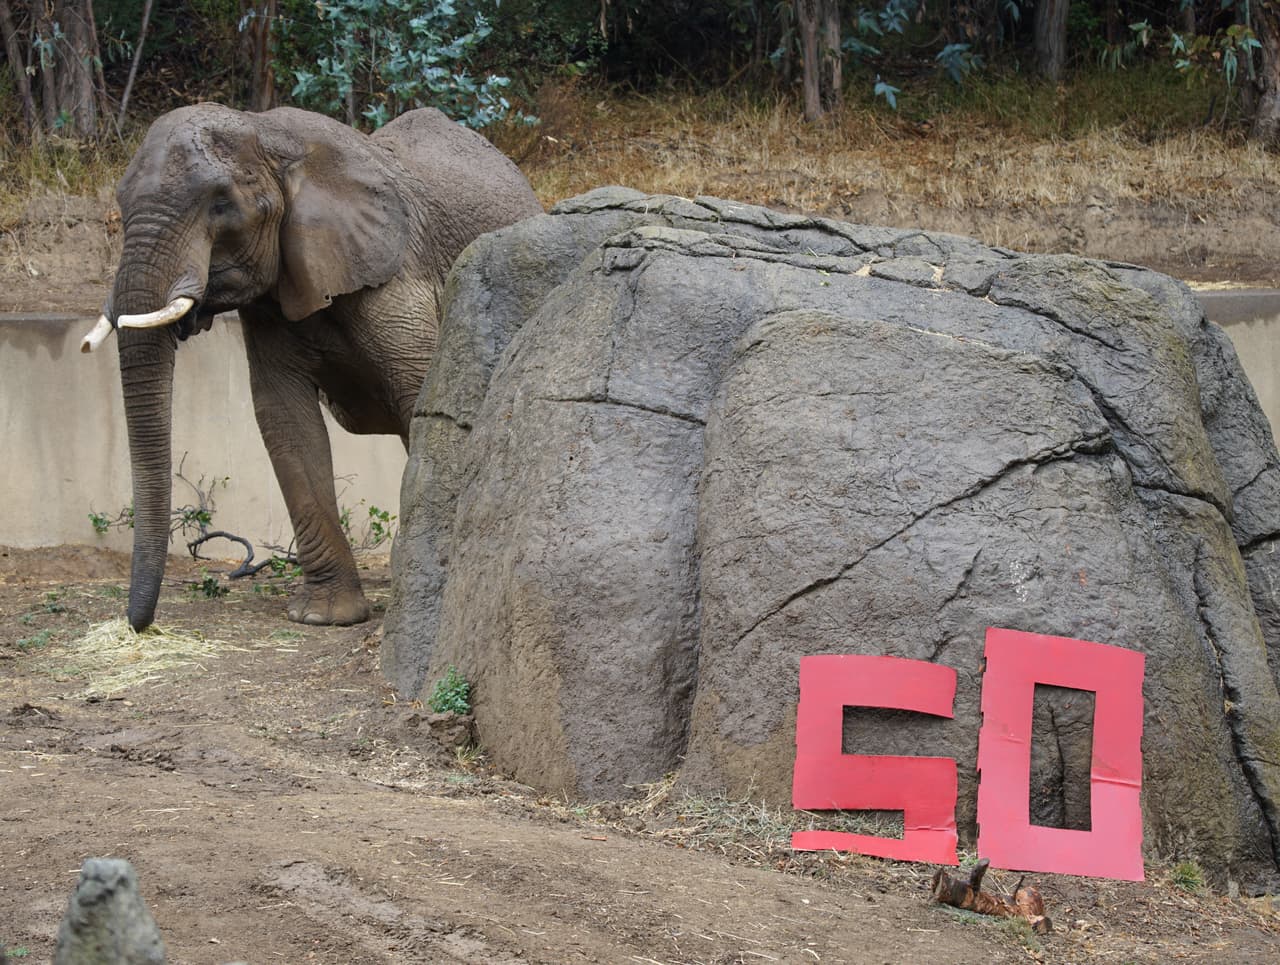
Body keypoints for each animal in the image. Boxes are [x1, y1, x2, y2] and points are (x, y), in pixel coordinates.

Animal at [83, 104, 543, 631]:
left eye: (221, 204)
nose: (138, 624)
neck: (268, 132)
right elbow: (285, 418)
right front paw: (325, 618)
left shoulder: (395, 275)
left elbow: (423, 400)